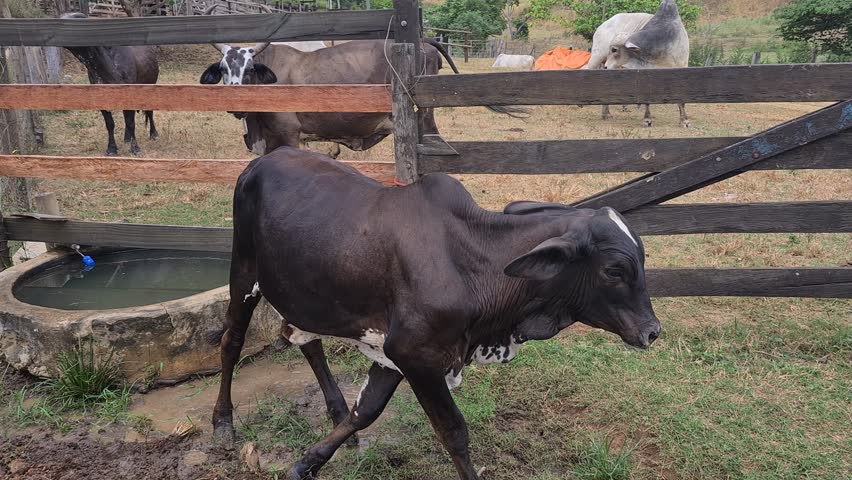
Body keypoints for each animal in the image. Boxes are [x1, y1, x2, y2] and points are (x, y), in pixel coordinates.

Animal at [61, 13, 159, 156]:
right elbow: (110, 124)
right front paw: (112, 148)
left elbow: (131, 123)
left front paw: (135, 148)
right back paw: (126, 138)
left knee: (149, 112)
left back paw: (153, 134)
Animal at [208, 146, 661, 480]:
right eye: (615, 269)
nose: (652, 331)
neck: (473, 263)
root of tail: (263, 158)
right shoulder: (416, 353)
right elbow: (454, 432)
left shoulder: (394, 352)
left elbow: (365, 412)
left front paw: (308, 462)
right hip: (243, 274)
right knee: (231, 341)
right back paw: (222, 423)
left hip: (299, 291)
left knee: (305, 341)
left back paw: (332, 408)